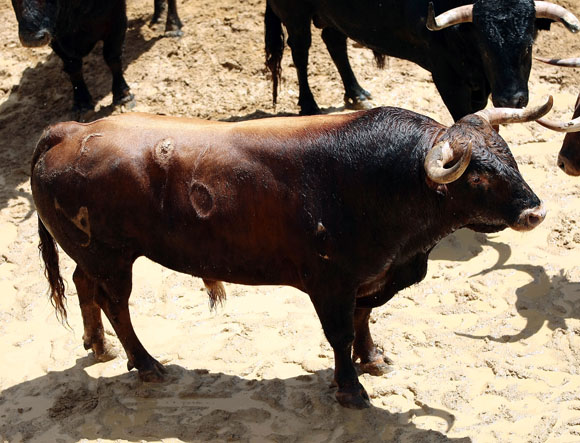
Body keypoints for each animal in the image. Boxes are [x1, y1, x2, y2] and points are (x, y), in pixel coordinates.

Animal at [34, 97, 552, 410]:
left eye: (508, 154)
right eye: (477, 176)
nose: (534, 211)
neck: (383, 180)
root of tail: (70, 130)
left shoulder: (368, 277)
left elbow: (364, 318)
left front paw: (373, 358)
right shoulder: (330, 284)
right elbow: (340, 333)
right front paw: (351, 388)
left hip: (93, 255)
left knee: (84, 285)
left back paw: (99, 345)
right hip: (114, 258)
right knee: (116, 304)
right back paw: (145, 364)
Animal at [266, 0, 576, 119]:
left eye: (527, 48)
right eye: (486, 48)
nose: (512, 100)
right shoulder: (446, 75)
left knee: (334, 41)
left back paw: (357, 93)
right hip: (295, 13)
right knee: (300, 49)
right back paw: (309, 106)